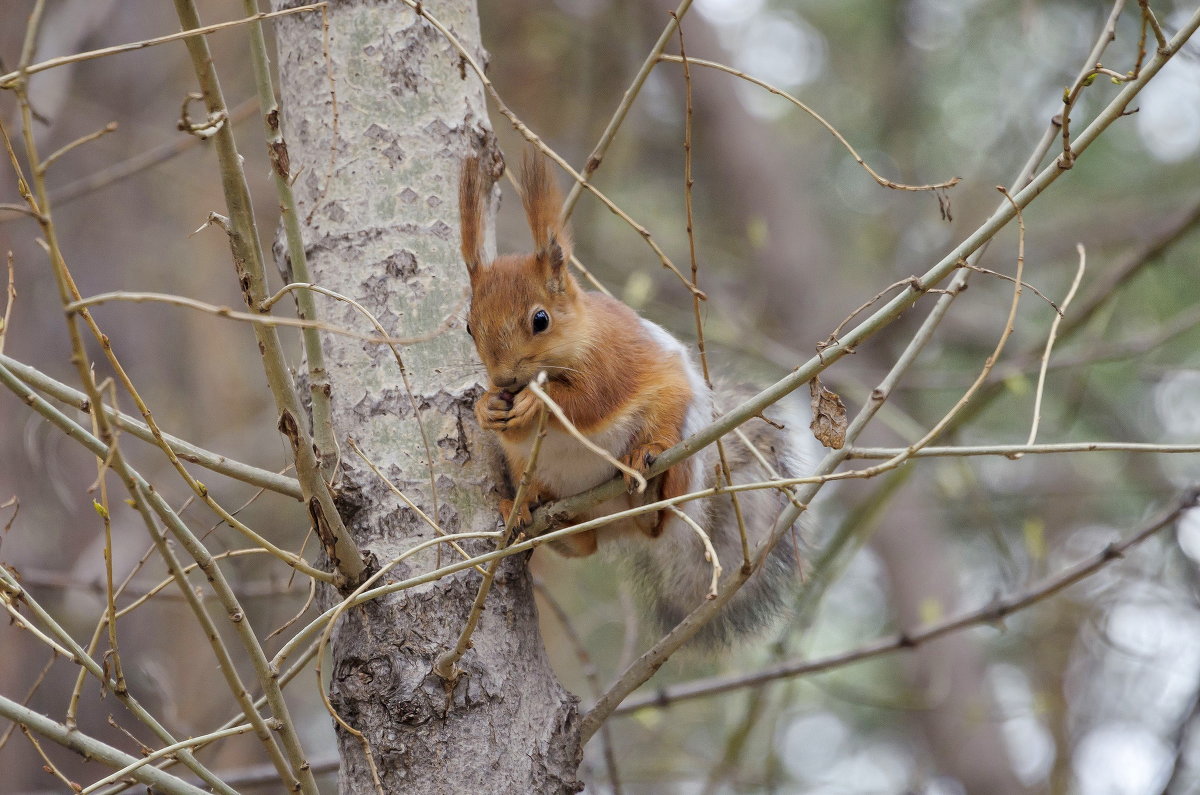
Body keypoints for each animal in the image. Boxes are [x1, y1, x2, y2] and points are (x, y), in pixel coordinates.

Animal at [456, 151, 816, 648]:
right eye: (469, 326)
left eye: (540, 319)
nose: (505, 379)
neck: (578, 336)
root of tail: (615, 523)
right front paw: (487, 406)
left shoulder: (609, 359)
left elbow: (587, 400)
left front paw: (537, 403)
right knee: (583, 545)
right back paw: (529, 511)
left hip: (678, 438)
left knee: (658, 517)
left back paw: (647, 478)